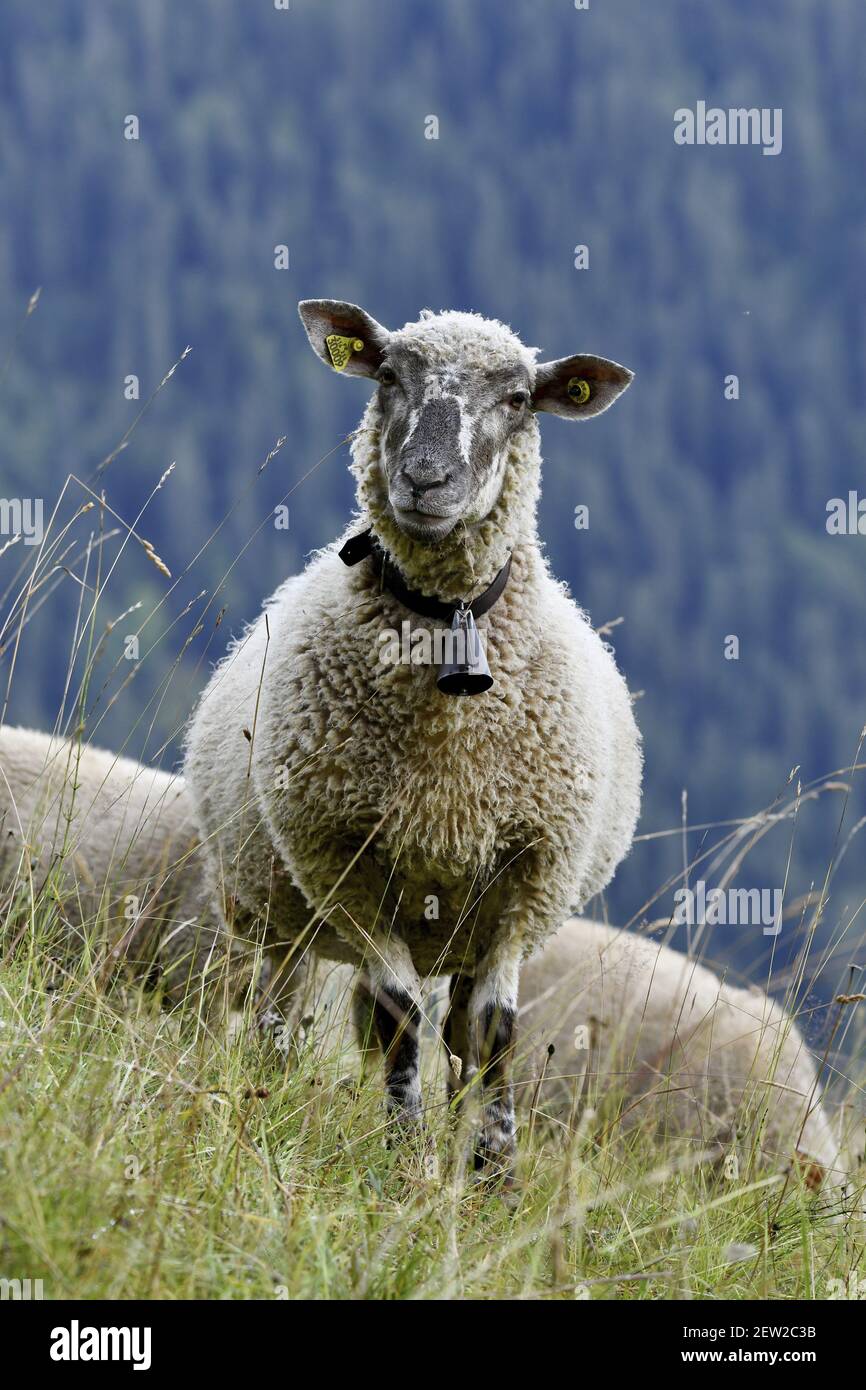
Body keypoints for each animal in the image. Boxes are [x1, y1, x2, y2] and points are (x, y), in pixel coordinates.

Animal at [183, 301, 644, 1173]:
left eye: (518, 400)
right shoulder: (345, 865)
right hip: (282, 913)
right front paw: (404, 1159)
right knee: (282, 1017)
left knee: (460, 1032)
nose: (427, 479)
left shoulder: (526, 878)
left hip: (458, 927)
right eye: (390, 375)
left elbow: (494, 1032)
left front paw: (493, 1170)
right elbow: (398, 1017)